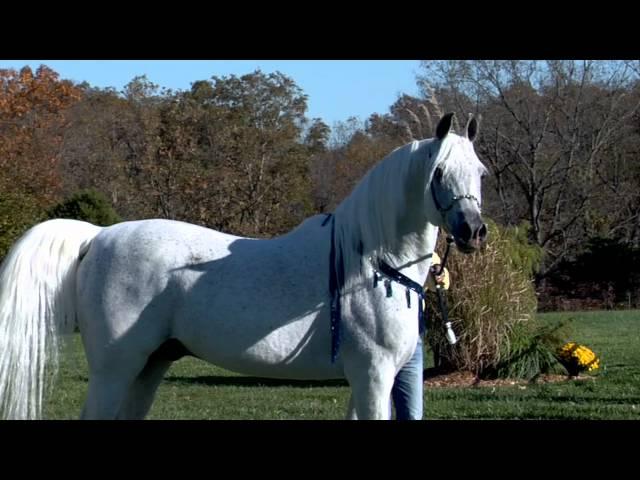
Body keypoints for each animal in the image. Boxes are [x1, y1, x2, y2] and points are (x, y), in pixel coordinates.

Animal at [0, 110, 484, 418]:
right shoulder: (373, 376)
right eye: (438, 172)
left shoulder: (366, 380)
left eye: (479, 171)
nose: (474, 231)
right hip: (115, 369)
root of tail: (98, 235)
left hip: (149, 366)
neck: (369, 263)